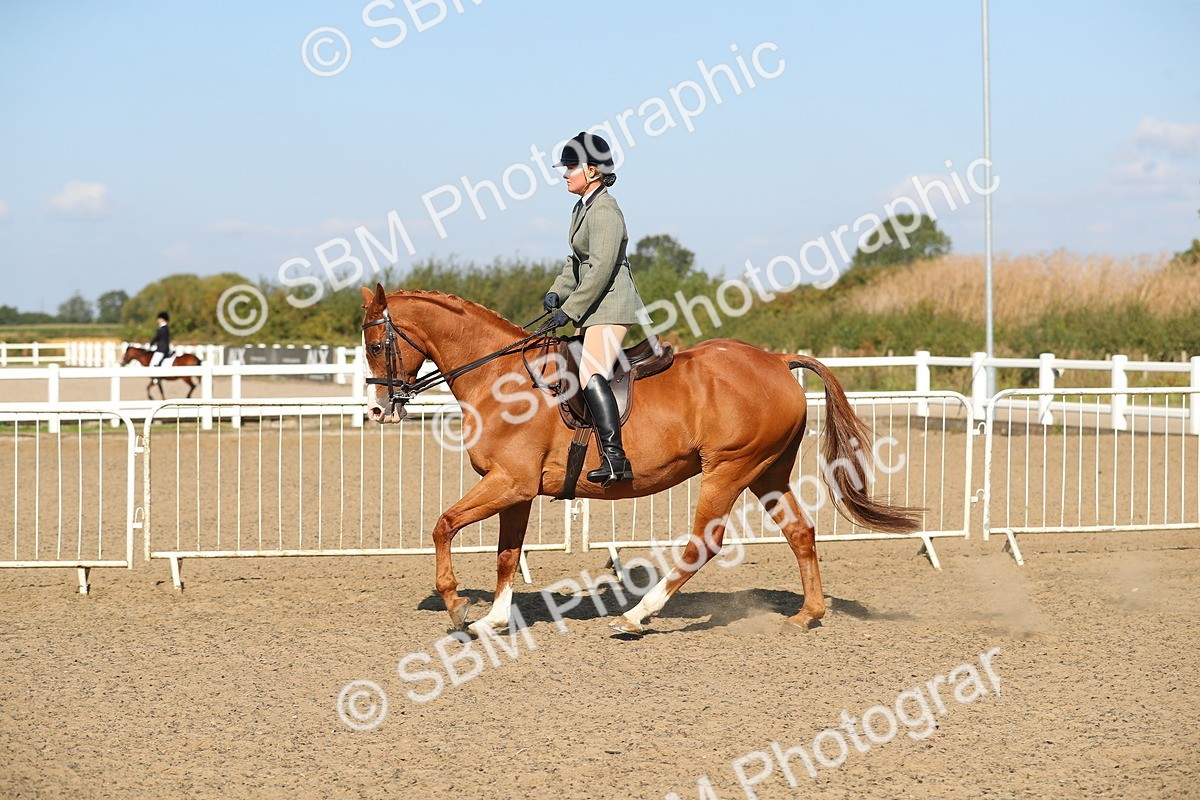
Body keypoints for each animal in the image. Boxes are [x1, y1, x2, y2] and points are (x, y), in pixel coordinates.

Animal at [359, 284, 920, 636]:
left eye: (375, 344)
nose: (378, 410)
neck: (501, 379)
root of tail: (777, 360)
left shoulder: (510, 483)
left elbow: (444, 524)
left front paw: (455, 607)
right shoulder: (514, 489)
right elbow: (505, 555)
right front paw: (491, 620)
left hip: (728, 470)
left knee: (703, 544)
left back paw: (635, 617)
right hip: (768, 473)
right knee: (800, 533)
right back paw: (807, 615)